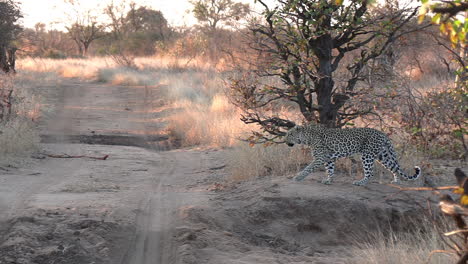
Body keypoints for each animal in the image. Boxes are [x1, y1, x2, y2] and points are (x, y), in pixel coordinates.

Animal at [284, 124, 422, 186]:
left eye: (290, 134)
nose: (284, 140)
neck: (307, 137)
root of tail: (383, 134)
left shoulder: (320, 157)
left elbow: (308, 168)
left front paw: (298, 177)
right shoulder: (328, 158)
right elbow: (330, 170)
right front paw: (329, 180)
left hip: (367, 155)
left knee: (370, 172)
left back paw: (361, 182)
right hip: (382, 156)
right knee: (394, 168)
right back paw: (395, 181)